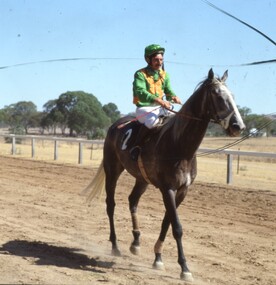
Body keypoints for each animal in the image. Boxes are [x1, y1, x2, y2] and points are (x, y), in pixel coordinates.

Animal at [82, 67, 246, 280]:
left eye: (232, 96)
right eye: (218, 95)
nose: (238, 126)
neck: (179, 145)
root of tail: (114, 126)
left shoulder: (182, 190)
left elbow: (166, 223)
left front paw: (158, 258)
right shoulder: (167, 189)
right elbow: (176, 227)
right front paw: (184, 268)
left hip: (142, 179)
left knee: (132, 200)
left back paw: (136, 242)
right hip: (112, 170)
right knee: (111, 205)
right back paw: (115, 246)